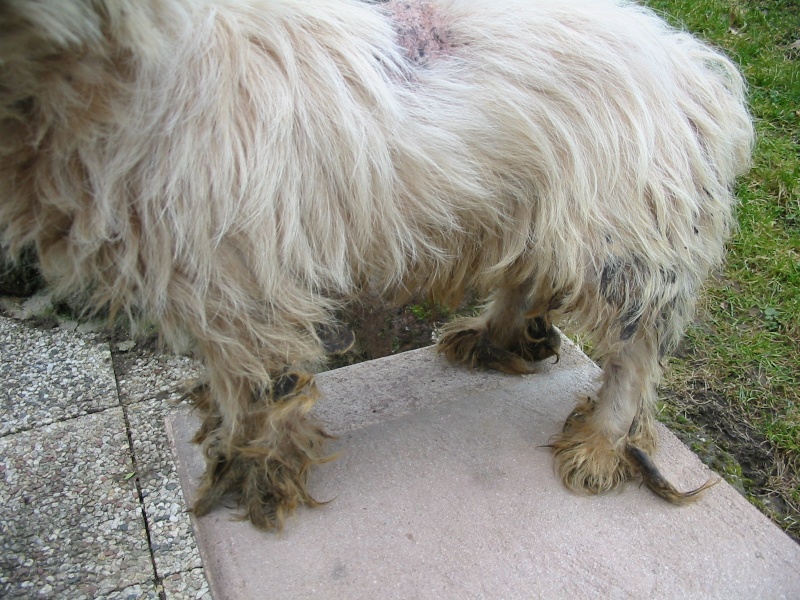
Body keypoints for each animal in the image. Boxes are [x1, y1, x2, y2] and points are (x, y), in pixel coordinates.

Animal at [0, 0, 752, 524]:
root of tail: (692, 66)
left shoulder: (240, 285)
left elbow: (259, 391)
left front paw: (252, 475)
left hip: (621, 241)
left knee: (635, 348)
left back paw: (599, 442)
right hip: (523, 200)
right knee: (525, 274)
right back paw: (495, 337)